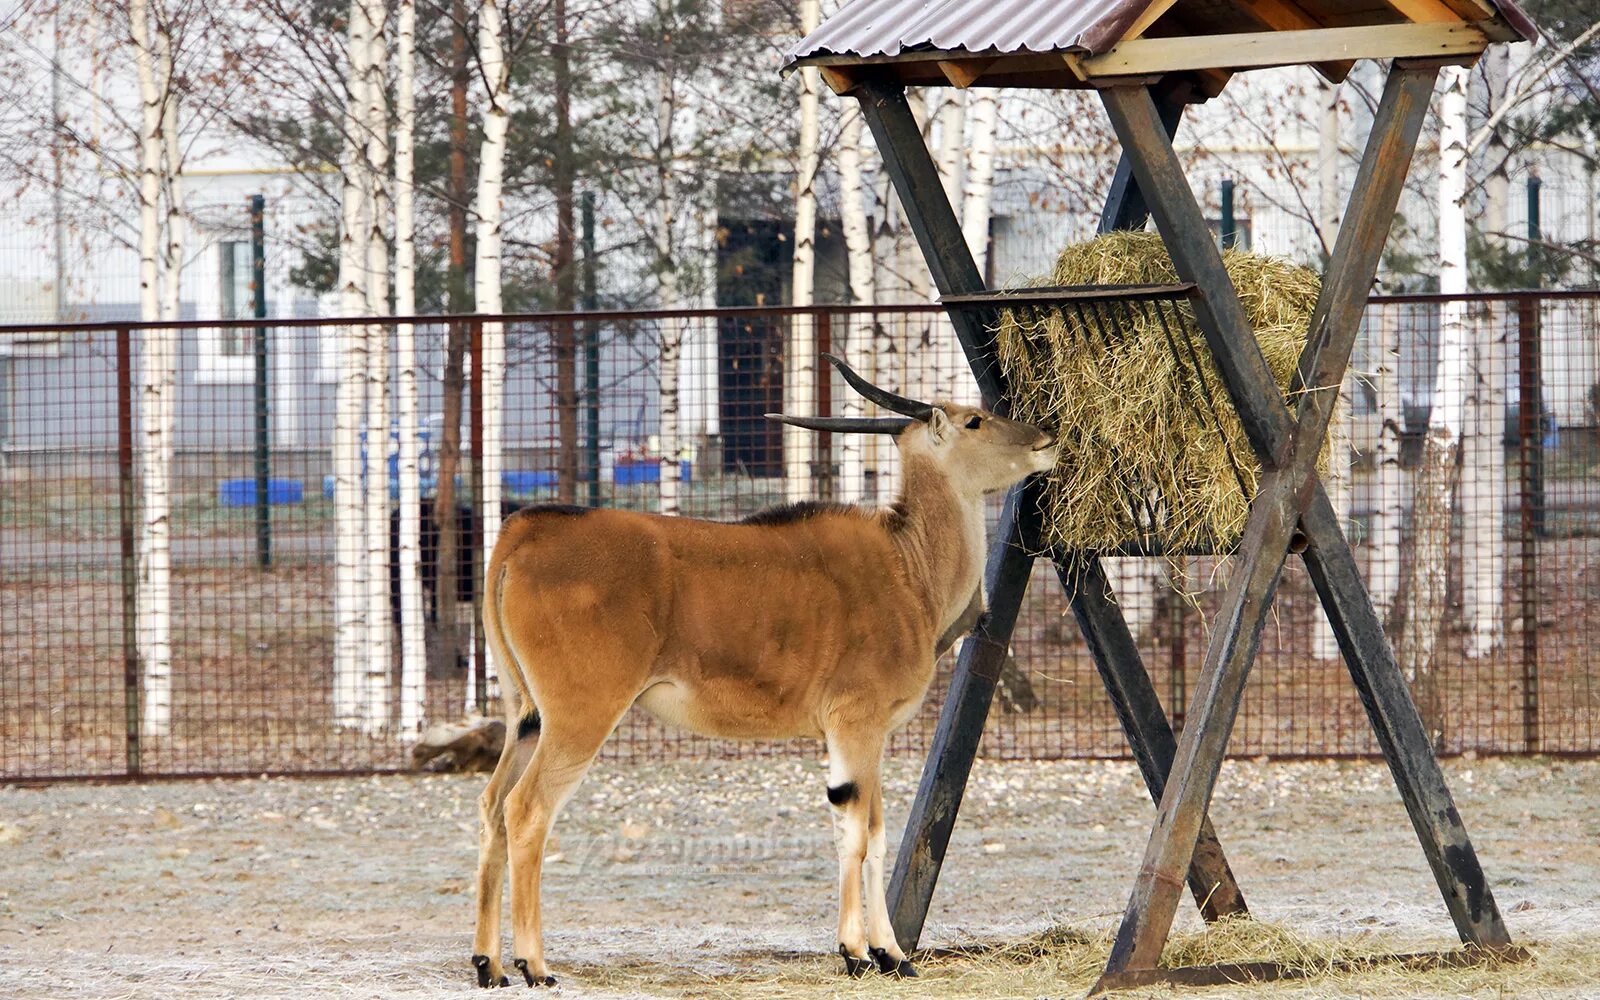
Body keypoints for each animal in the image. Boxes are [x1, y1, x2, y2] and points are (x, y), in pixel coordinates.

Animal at [467, 350, 1056, 985]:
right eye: (975, 420)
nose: (1046, 437)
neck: (906, 564)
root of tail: (523, 532)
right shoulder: (857, 724)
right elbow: (859, 833)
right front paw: (863, 952)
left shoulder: (859, 735)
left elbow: (869, 830)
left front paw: (884, 953)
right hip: (580, 718)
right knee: (527, 810)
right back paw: (534, 963)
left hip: (526, 717)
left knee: (493, 806)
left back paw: (488, 963)